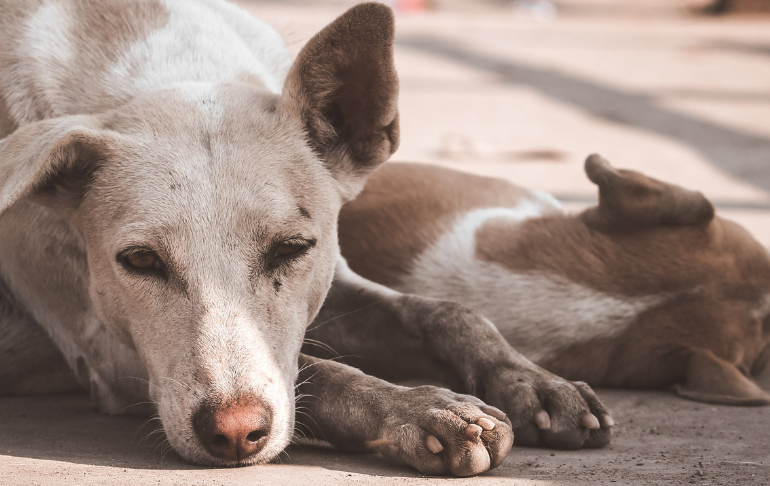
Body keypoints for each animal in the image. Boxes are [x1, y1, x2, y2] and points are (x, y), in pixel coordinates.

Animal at [0, 0, 612, 476]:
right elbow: (319, 374)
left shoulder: (331, 283)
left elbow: (445, 312)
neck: (163, 60)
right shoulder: (104, 352)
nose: (234, 432)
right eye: (140, 260)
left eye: (291, 249)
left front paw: (531, 381)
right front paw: (422, 410)